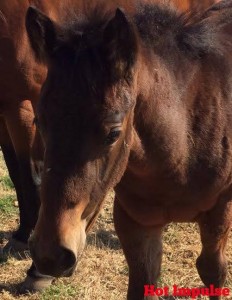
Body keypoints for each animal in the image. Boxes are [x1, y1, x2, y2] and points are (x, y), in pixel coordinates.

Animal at [25, 0, 232, 298]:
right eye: (39, 121)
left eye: (113, 132)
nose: (49, 255)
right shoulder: (137, 221)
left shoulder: (220, 207)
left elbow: (213, 271)